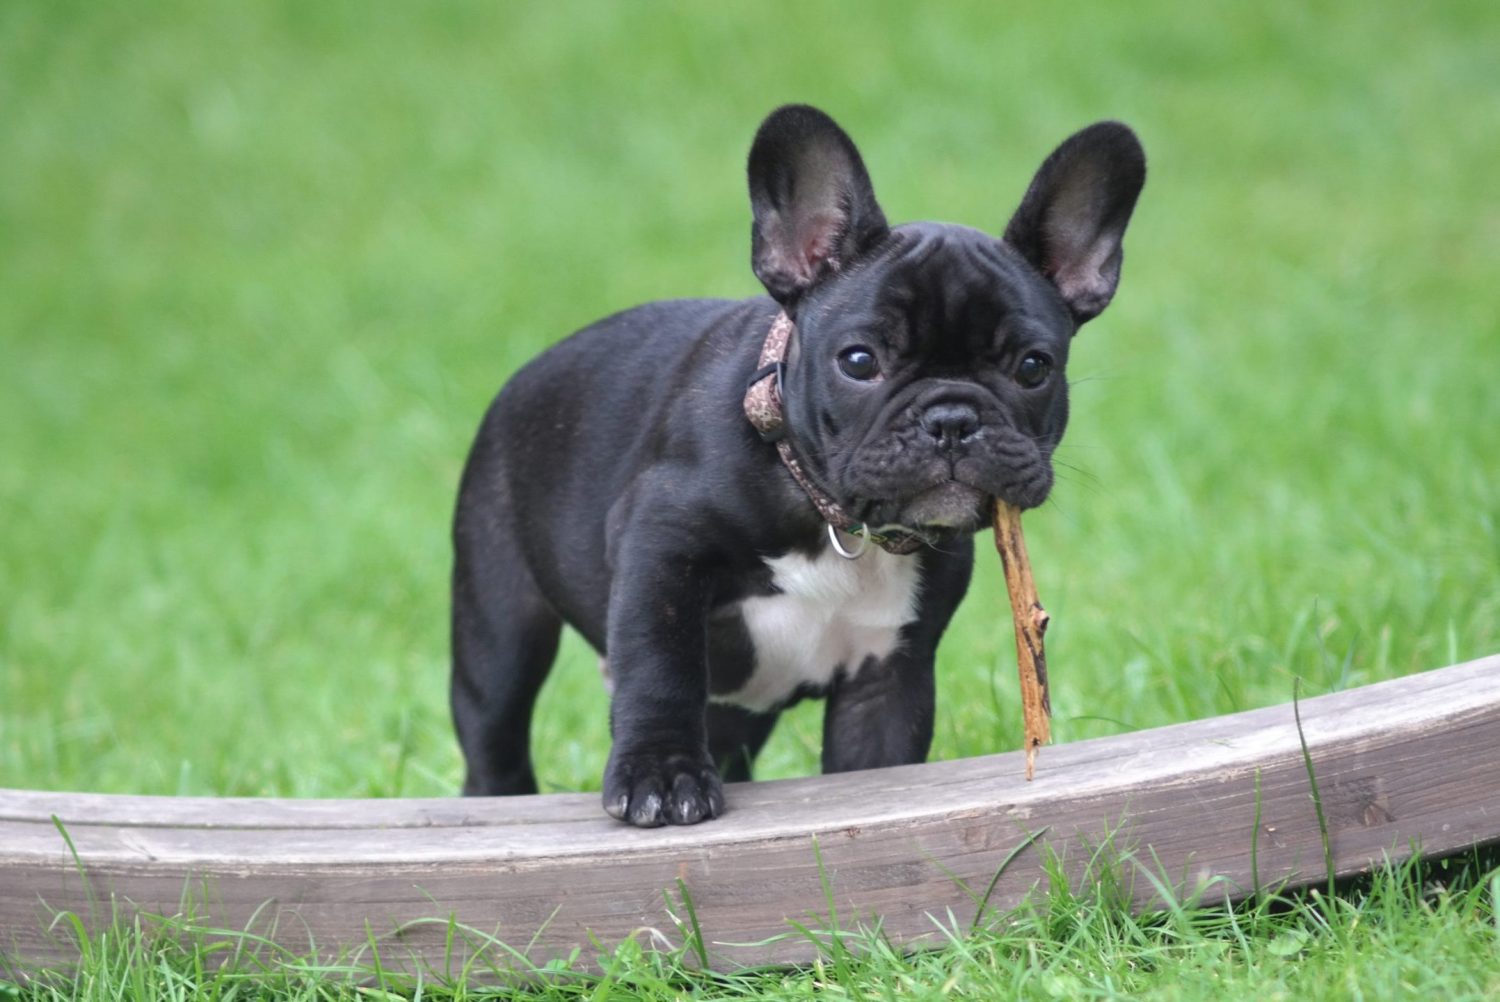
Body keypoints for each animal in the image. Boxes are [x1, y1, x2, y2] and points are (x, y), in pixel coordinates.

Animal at [450, 105, 1140, 828]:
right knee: (495, 728)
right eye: (860, 361)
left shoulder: (888, 675)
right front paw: (660, 774)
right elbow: (660, 665)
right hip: (499, 625)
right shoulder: (658, 547)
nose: (951, 419)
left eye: (1033, 367)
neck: (826, 512)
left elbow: (879, 762)